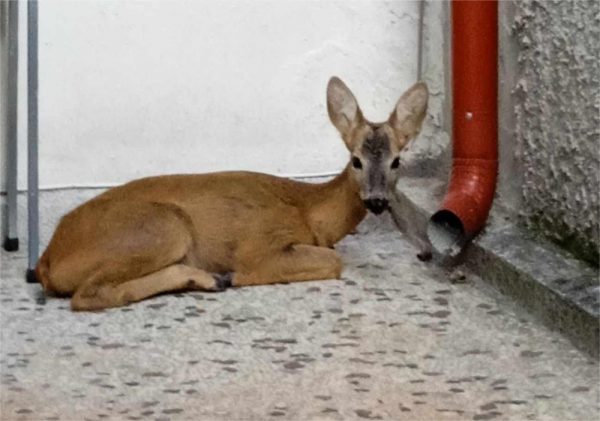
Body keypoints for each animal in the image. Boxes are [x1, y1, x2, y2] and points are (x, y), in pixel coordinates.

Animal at [36, 77, 426, 310]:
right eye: (356, 160)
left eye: (396, 161)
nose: (377, 200)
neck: (309, 211)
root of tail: (48, 259)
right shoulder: (261, 244)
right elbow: (333, 261)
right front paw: (239, 276)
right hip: (161, 226)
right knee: (87, 294)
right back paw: (213, 278)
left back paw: (204, 279)